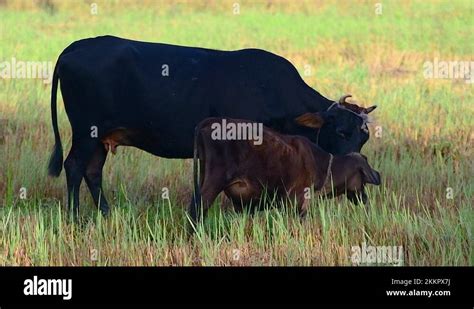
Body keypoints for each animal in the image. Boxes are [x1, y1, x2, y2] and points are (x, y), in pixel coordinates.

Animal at [187, 116, 380, 223]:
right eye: (363, 179)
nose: (365, 200)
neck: (322, 164)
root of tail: (208, 123)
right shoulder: (298, 203)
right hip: (213, 182)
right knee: (196, 211)